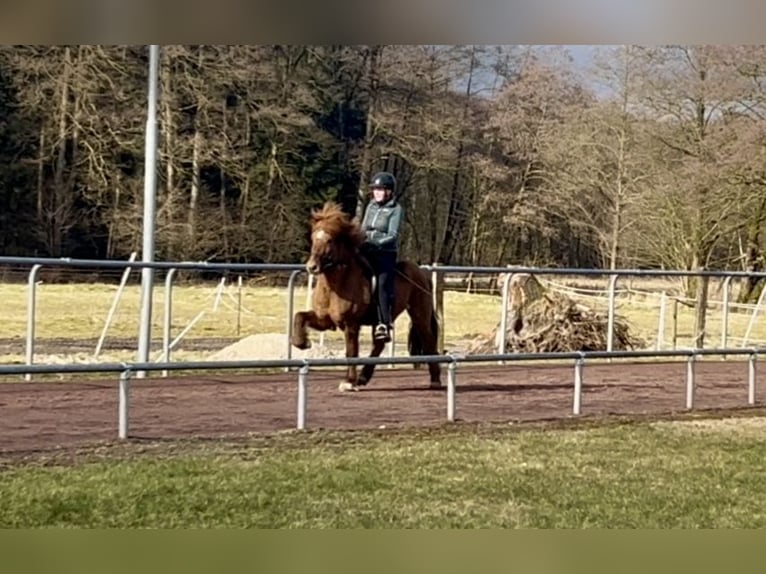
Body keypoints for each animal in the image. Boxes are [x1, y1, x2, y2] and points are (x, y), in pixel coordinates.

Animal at [290, 200, 444, 394]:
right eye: (313, 238)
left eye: (330, 240)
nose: (312, 267)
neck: (336, 284)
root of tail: (422, 273)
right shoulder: (325, 319)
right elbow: (299, 316)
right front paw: (302, 343)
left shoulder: (351, 324)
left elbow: (351, 351)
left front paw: (348, 381)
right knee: (379, 344)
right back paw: (363, 377)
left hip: (419, 315)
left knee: (429, 341)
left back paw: (435, 380)